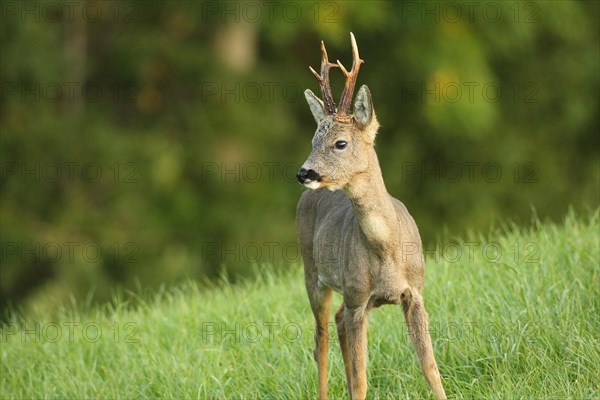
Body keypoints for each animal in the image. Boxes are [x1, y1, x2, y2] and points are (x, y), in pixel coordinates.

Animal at [296, 33, 446, 400]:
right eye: (313, 139)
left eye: (340, 143)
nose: (304, 172)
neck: (386, 249)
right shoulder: (357, 298)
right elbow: (362, 378)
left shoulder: (414, 292)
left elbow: (431, 368)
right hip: (313, 273)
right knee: (320, 340)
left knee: (335, 325)